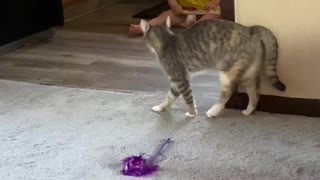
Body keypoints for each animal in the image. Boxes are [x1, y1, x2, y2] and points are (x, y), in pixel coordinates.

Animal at [139, 16, 284, 118]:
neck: (166, 40)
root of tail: (251, 29)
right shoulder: (176, 81)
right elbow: (169, 97)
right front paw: (160, 108)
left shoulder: (180, 78)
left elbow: (187, 98)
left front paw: (192, 113)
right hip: (248, 73)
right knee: (255, 94)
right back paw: (248, 111)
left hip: (227, 71)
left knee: (227, 93)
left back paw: (213, 111)